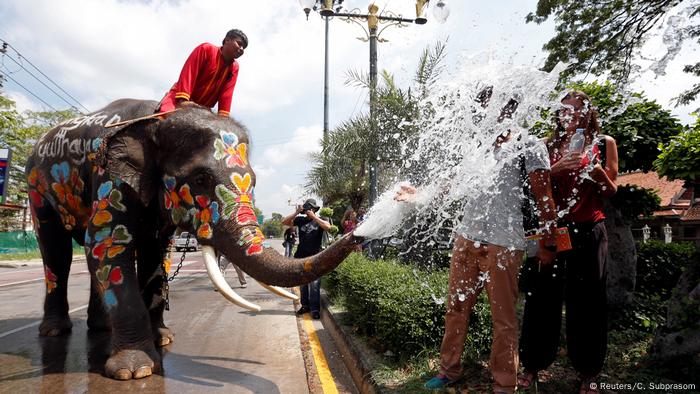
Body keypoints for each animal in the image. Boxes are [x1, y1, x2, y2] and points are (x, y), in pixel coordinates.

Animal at [25, 98, 360, 378]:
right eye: (200, 179)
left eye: (254, 181)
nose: (355, 233)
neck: (158, 118)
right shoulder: (112, 178)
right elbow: (107, 243)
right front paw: (135, 371)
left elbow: (156, 252)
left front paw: (163, 338)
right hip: (37, 188)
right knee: (57, 253)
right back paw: (55, 331)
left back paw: (100, 327)